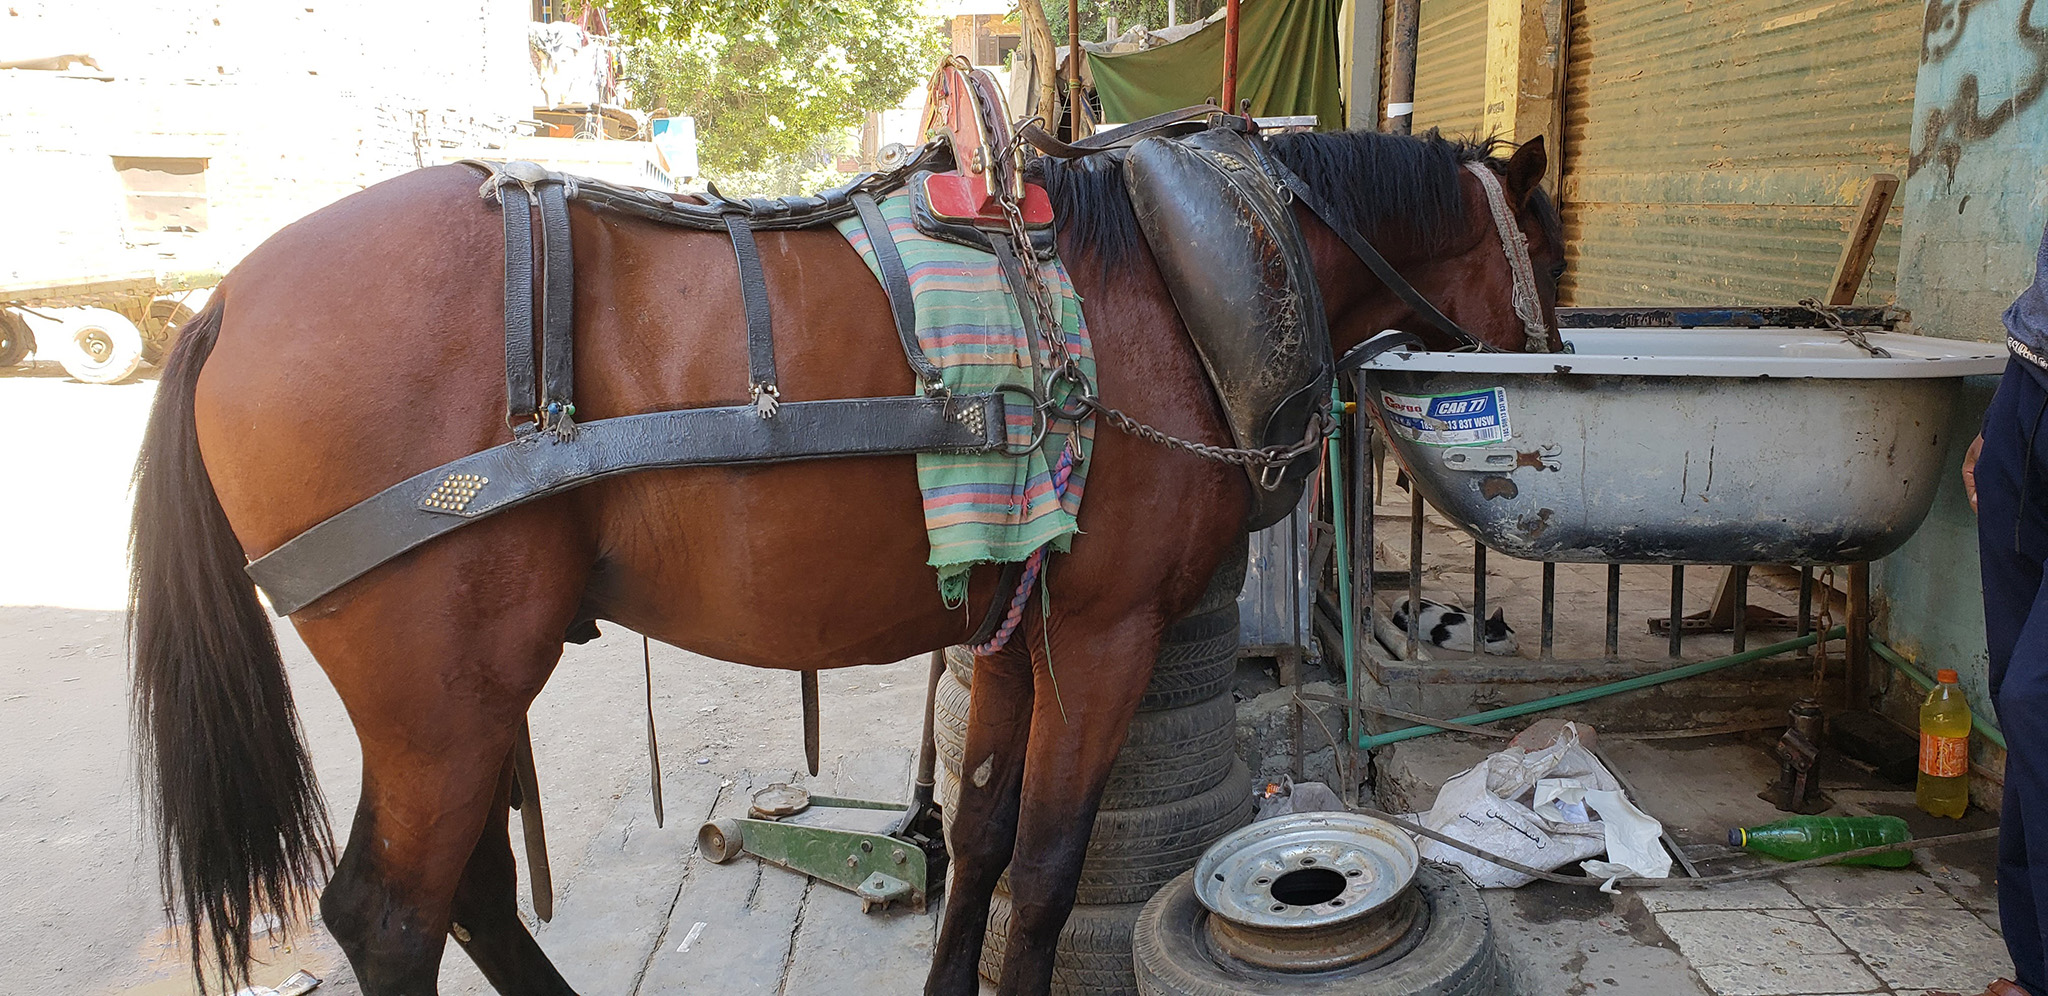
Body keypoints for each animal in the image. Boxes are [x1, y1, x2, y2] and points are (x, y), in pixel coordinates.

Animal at [128, 126, 1563, 996]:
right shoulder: (1107, 631)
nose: (1554, 351)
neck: (1171, 278)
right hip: (443, 687)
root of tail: (227, 303)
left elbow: (981, 838)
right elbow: (1050, 868)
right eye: (1544, 248)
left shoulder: (1021, 620)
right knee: (390, 912)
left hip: (458, 696)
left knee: (466, 891)